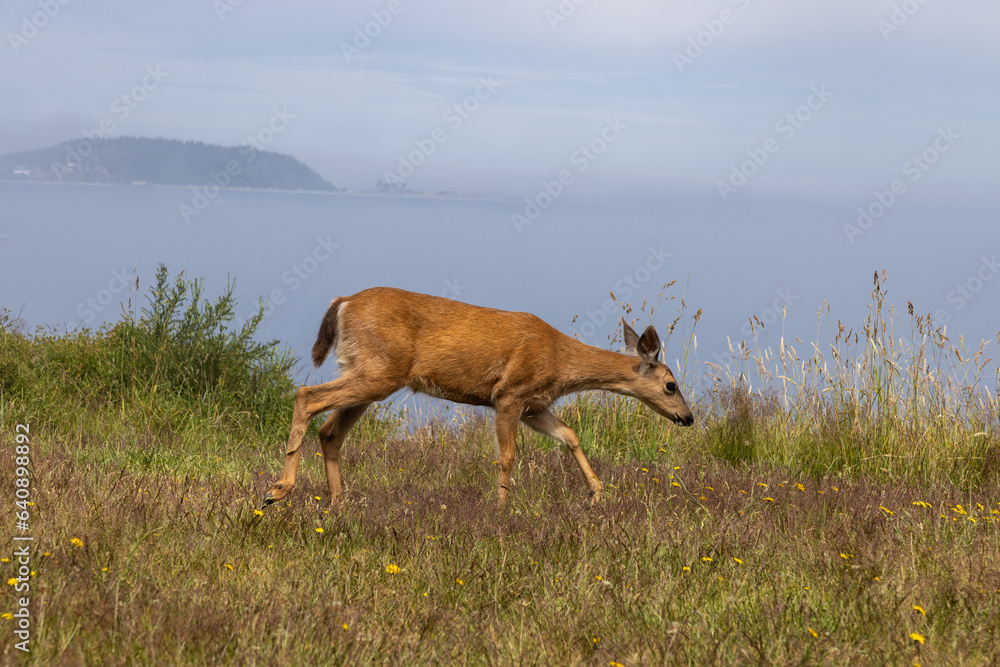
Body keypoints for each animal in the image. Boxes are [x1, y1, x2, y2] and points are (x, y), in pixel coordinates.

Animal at [262, 287, 694, 509]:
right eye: (671, 385)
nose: (688, 418)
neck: (559, 360)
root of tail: (342, 304)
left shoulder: (534, 406)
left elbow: (570, 435)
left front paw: (596, 493)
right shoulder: (509, 393)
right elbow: (508, 455)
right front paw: (502, 509)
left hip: (367, 374)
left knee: (331, 431)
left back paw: (337, 504)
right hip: (378, 372)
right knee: (306, 395)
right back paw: (278, 490)